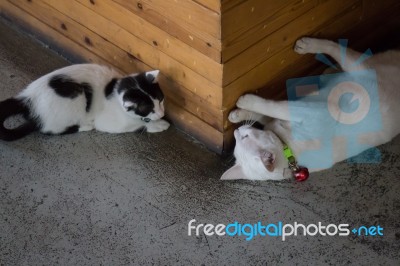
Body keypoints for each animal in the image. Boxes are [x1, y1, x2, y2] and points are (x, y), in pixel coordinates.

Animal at [0, 64, 170, 141]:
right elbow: (137, 125)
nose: (161, 113)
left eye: (161, 100)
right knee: (49, 130)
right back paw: (85, 126)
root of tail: (26, 98)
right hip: (77, 96)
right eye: (148, 108)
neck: (114, 88)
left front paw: (160, 121)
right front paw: (157, 125)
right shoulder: (109, 123)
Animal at [222, 37, 400, 181]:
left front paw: (242, 107)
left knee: (336, 47)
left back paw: (310, 48)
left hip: (358, 68)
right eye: (238, 141)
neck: (288, 149)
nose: (236, 131)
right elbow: (266, 113)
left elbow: (270, 108)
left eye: (244, 137)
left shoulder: (306, 109)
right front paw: (241, 112)